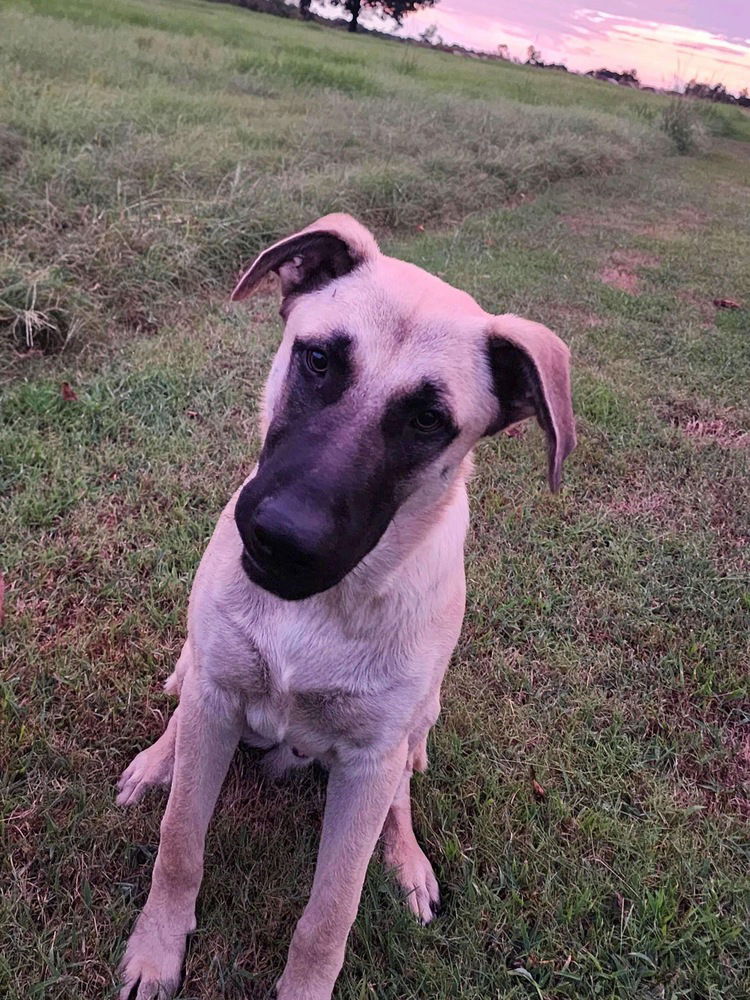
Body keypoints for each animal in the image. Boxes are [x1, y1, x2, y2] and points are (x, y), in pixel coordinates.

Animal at [117, 215, 580, 996]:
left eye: (428, 420)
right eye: (318, 360)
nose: (280, 538)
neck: (321, 608)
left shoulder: (368, 763)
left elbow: (330, 912)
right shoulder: (217, 693)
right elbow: (180, 842)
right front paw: (156, 950)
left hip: (414, 724)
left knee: (400, 793)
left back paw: (408, 861)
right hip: (201, 672)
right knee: (182, 712)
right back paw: (156, 764)